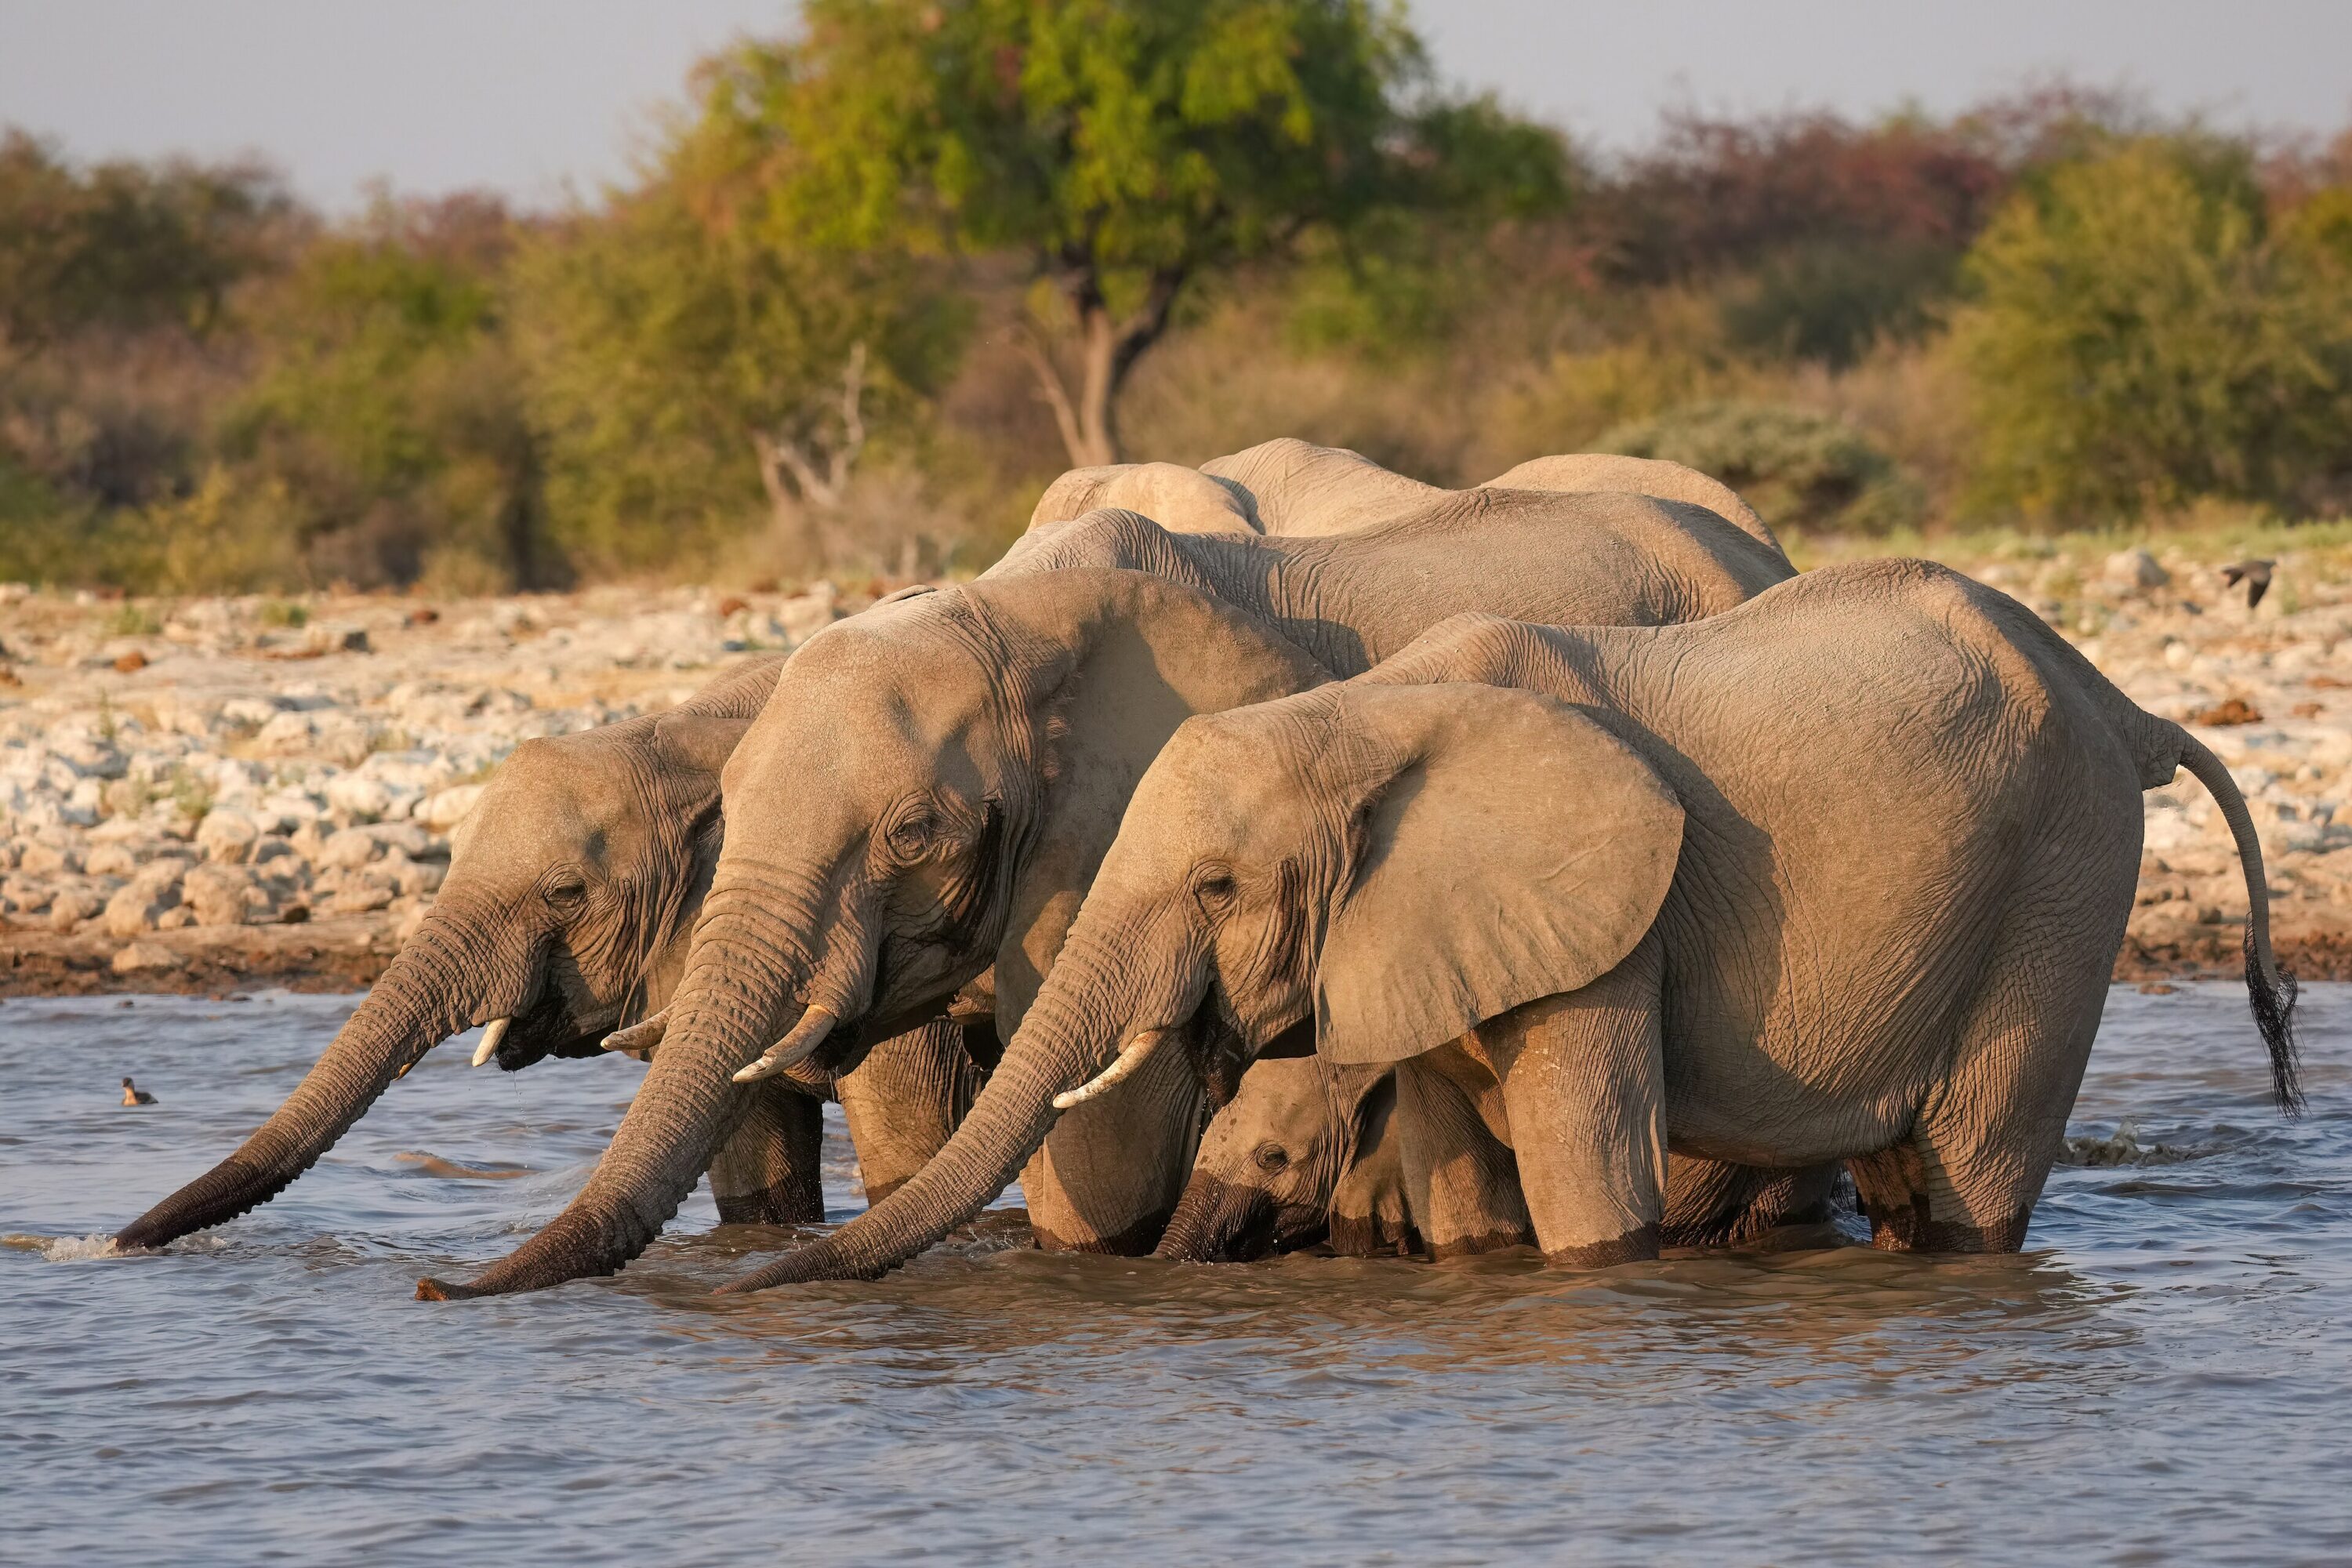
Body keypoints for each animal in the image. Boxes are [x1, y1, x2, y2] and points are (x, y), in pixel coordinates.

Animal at [722, 557, 2297, 1287]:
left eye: (1220, 889)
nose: (769, 1283)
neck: (1362, 716)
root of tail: (2126, 704)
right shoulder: (1418, 933)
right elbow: (1466, 1183)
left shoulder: (1611, 922)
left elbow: (1587, 1177)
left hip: (2060, 887)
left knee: (1973, 1172)